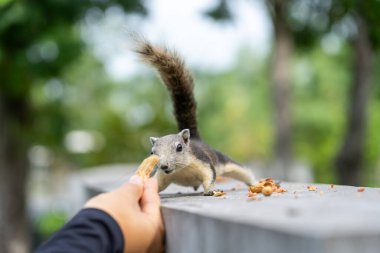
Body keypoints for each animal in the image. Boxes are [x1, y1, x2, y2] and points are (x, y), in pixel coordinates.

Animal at [133, 37, 252, 196]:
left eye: (179, 147)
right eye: (152, 152)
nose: (164, 166)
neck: (181, 170)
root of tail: (196, 139)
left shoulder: (203, 162)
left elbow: (209, 176)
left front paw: (209, 190)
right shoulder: (161, 176)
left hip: (224, 161)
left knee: (242, 172)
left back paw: (254, 182)